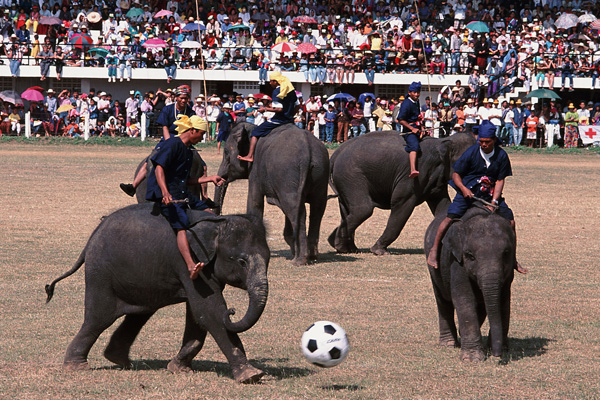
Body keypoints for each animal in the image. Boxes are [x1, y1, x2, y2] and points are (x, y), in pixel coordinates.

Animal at [45, 205, 270, 382]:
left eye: (269, 259)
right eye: (241, 261)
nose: (232, 311)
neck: (217, 223)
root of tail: (92, 236)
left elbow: (197, 314)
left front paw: (179, 369)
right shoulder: (190, 262)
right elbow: (209, 310)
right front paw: (251, 376)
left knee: (138, 314)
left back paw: (120, 360)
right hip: (101, 274)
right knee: (99, 318)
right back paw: (77, 366)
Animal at [214, 122, 328, 266]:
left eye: (226, 153)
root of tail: (308, 149)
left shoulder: (255, 171)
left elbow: (255, 204)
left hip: (287, 174)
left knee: (296, 210)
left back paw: (298, 261)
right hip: (320, 172)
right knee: (316, 209)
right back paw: (312, 256)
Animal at [326, 133, 476, 255]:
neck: (443, 141)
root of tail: (336, 153)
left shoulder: (436, 181)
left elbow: (444, 208)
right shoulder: (413, 176)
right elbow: (401, 202)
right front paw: (379, 251)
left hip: (345, 180)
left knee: (348, 210)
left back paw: (346, 247)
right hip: (351, 175)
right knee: (363, 209)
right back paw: (339, 246)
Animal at [422, 206, 516, 362]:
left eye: (506, 253)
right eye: (470, 255)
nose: (497, 355)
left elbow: (503, 301)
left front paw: (503, 349)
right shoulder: (456, 261)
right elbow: (464, 299)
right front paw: (472, 359)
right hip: (433, 269)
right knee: (443, 301)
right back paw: (448, 344)